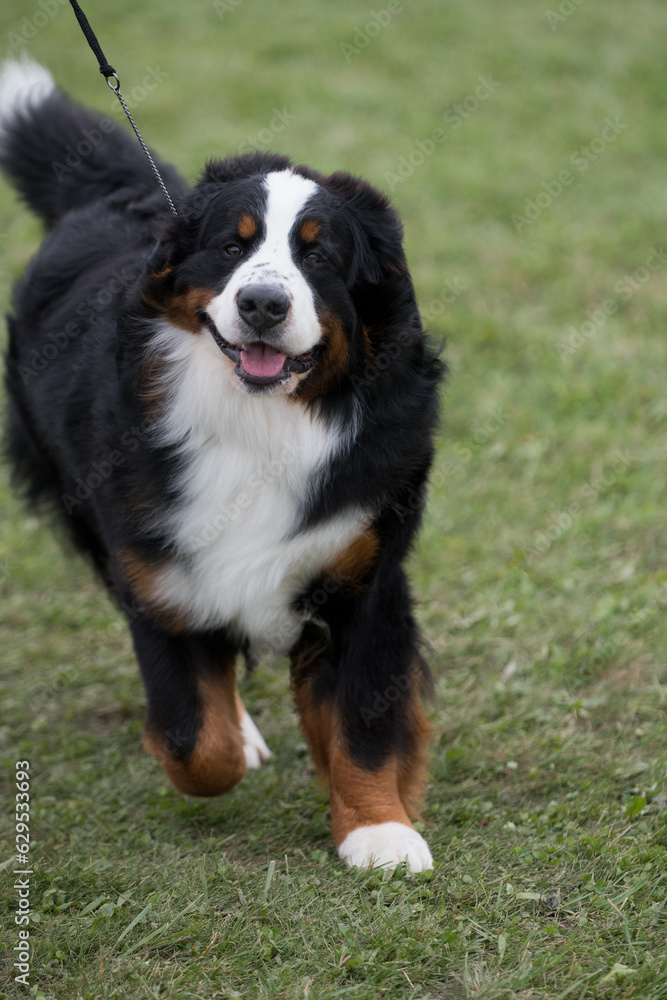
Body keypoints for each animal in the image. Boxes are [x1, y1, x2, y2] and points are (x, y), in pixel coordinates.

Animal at [2, 58, 446, 872]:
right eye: (233, 248)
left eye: (318, 255)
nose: (264, 303)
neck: (260, 421)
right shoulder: (156, 572)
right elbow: (194, 741)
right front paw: (234, 746)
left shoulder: (364, 574)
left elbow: (363, 721)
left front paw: (377, 828)